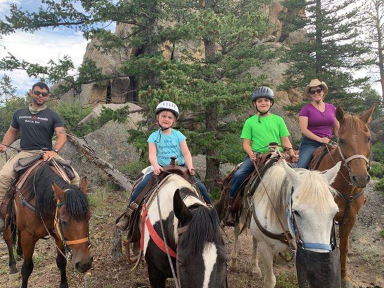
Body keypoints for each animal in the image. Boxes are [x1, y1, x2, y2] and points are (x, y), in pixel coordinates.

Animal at [312, 106, 376, 288]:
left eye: (368, 138)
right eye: (341, 140)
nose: (360, 177)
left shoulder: (350, 218)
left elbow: (344, 247)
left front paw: (344, 277)